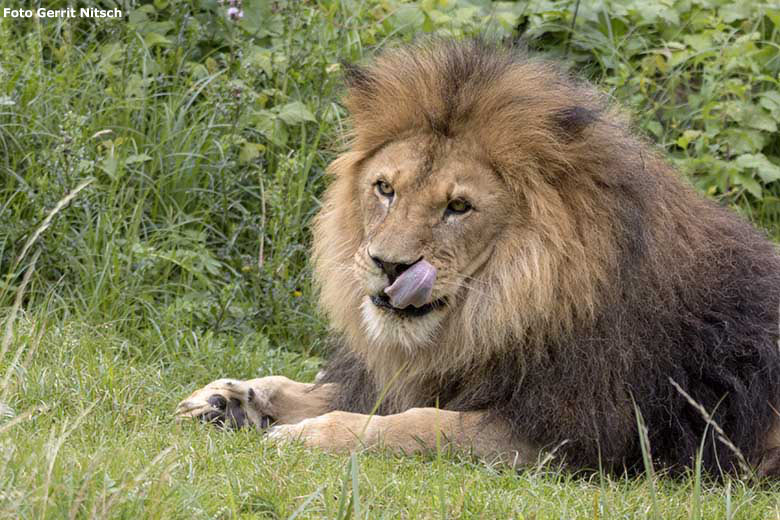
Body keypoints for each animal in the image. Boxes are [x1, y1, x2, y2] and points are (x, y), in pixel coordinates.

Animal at [175, 40, 780, 478]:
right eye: (384, 189)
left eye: (458, 207)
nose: (388, 265)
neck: (496, 310)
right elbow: (320, 388)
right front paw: (229, 398)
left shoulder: (559, 438)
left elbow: (418, 425)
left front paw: (309, 434)